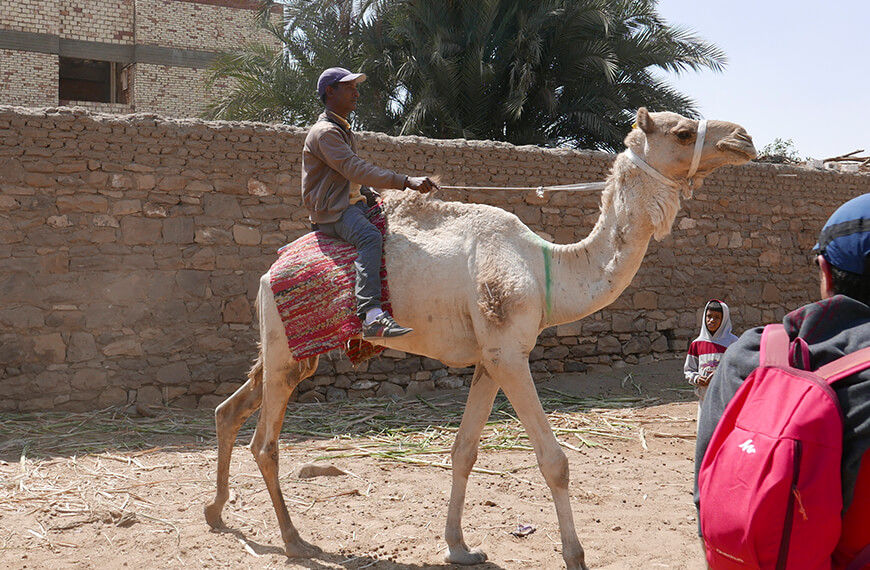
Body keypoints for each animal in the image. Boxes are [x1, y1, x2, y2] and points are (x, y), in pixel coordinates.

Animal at [206, 105, 756, 564]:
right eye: (681, 132)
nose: (744, 137)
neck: (545, 268)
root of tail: (268, 272)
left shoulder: (490, 358)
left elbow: (464, 451)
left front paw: (458, 547)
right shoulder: (510, 353)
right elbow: (554, 460)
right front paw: (574, 555)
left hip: (290, 350)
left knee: (230, 410)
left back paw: (217, 513)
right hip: (286, 347)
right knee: (266, 442)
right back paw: (295, 541)